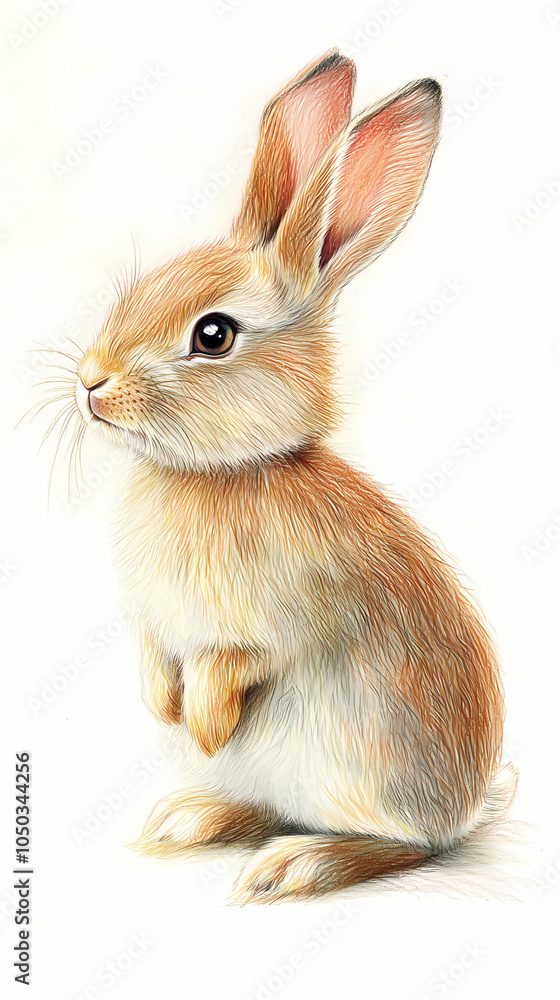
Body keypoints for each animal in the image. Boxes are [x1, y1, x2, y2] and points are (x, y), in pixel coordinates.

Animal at [72, 50, 515, 903]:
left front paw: (204, 721)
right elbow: (156, 656)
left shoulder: (283, 620)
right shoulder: (156, 626)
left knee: (406, 848)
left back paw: (297, 867)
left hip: (363, 768)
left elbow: (238, 661)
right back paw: (191, 820)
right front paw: (166, 710)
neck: (222, 473)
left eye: (213, 334)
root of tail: (468, 804)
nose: (90, 383)